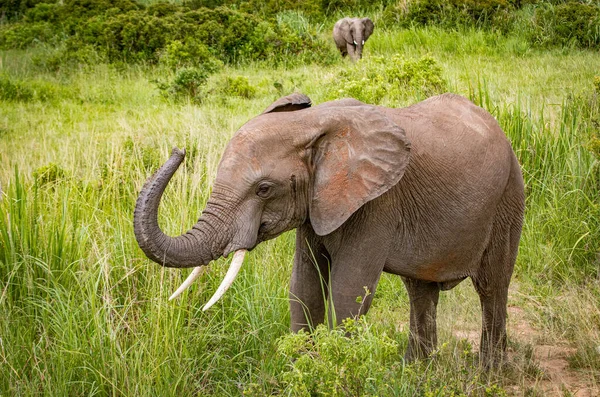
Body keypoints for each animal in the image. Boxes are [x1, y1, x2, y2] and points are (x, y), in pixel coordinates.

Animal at [135, 91, 524, 366]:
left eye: (264, 189)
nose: (178, 149)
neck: (313, 123)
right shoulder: (315, 207)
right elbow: (303, 285)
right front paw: (299, 368)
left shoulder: (377, 203)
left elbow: (348, 289)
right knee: (420, 290)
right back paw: (416, 370)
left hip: (509, 196)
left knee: (491, 286)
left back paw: (490, 373)